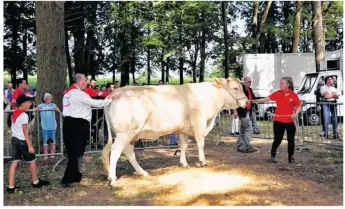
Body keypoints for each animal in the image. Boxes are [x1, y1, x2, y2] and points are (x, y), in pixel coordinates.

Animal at [101, 77, 247, 187]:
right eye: (235, 88)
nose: (247, 102)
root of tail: (115, 93)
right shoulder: (199, 124)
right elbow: (200, 144)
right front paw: (203, 161)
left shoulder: (183, 129)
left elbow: (183, 146)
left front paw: (184, 163)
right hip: (125, 133)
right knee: (116, 151)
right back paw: (113, 179)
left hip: (131, 135)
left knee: (129, 152)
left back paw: (143, 172)